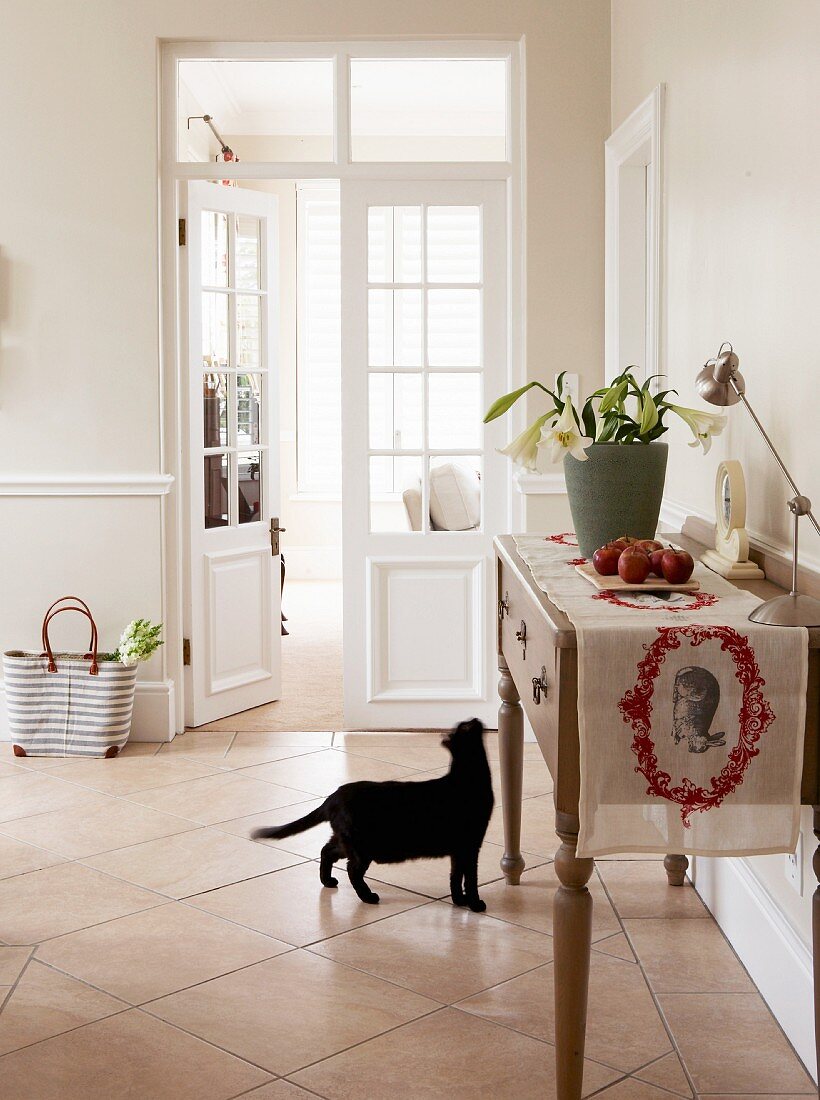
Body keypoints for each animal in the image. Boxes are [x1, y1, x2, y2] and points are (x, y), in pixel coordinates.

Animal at [249, 712, 493, 910]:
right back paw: (368, 897)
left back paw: (328, 882)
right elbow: (470, 878)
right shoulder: (471, 845)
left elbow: (455, 876)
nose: (474, 718)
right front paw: (475, 904)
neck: (468, 779)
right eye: (465, 726)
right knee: (352, 870)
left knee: (326, 851)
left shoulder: (459, 850)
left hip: (346, 841)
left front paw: (459, 901)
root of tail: (334, 796)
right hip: (361, 847)